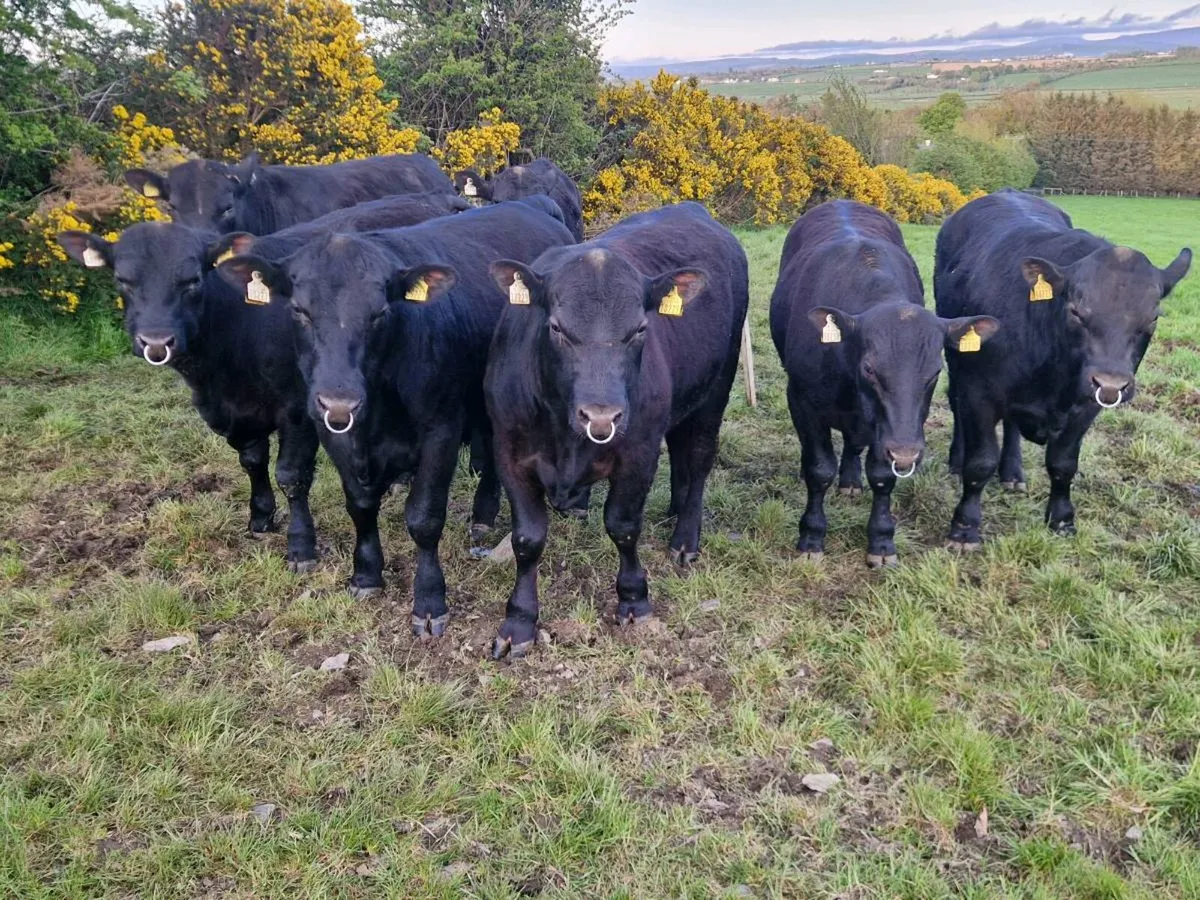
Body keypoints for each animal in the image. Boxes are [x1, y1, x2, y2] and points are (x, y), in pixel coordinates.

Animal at [54, 194, 466, 571]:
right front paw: (261, 515)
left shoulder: (297, 408)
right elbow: (252, 461)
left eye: (192, 280)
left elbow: (291, 475)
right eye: (122, 281)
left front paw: (301, 545)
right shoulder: (236, 412)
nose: (156, 341)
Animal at [218, 202, 575, 638]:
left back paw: (483, 517)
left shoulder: (441, 430)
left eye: (379, 313)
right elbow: (359, 504)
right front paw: (366, 574)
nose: (339, 399)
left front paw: (429, 602)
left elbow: (423, 518)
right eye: (299, 310)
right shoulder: (332, 432)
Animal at [483, 202, 748, 658]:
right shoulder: (510, 453)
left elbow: (623, 526)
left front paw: (634, 598)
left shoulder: (638, 452)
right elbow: (527, 539)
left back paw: (685, 538)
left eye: (640, 329)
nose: (601, 416)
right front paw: (519, 621)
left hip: (716, 389)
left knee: (698, 457)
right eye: (556, 328)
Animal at [769, 201, 1000, 567]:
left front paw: (881, 541)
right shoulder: (801, 400)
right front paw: (811, 536)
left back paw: (851, 481)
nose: (906, 452)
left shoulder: (890, 428)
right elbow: (819, 469)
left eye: (935, 371)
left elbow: (881, 476)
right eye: (869, 368)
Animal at [935, 188, 1191, 547]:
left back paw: (1012, 472)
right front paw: (964, 527)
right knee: (957, 407)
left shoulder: (1086, 405)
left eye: (1153, 318)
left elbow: (1063, 463)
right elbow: (980, 461)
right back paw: (957, 460)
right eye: (1076, 311)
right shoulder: (978, 390)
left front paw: (1061, 519)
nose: (1111, 384)